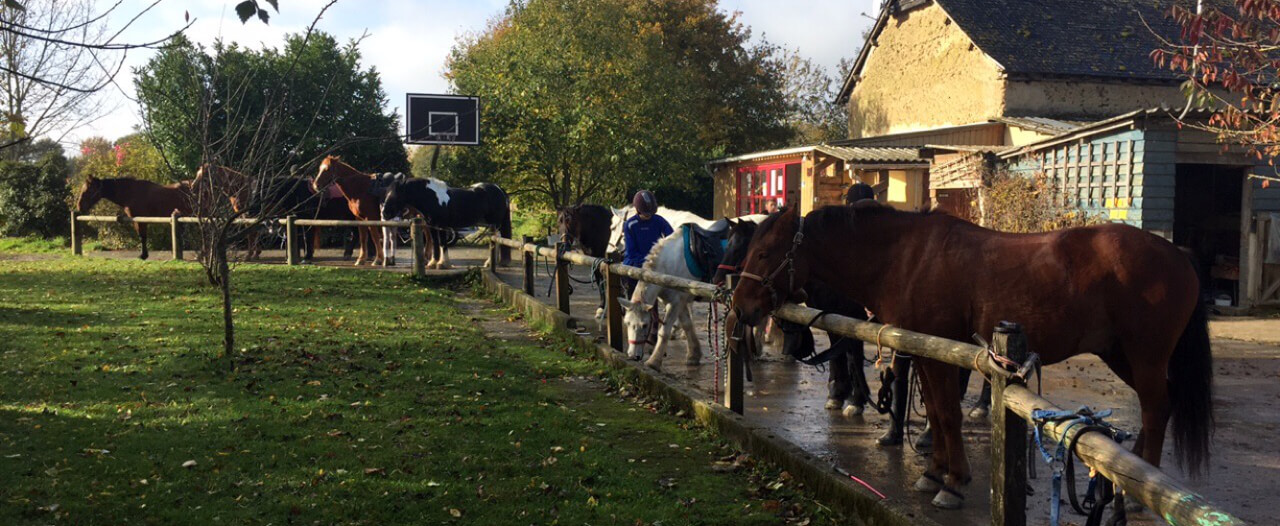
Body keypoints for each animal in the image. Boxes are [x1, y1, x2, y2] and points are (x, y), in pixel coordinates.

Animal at [376, 179, 512, 270]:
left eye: (395, 195)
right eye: (387, 193)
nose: (384, 213)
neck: (432, 198)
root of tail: (499, 189)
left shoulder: (442, 226)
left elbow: (442, 243)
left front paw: (443, 264)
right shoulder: (432, 226)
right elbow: (435, 243)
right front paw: (433, 263)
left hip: (495, 224)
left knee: (497, 238)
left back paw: (489, 263)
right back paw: (495, 262)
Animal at [732, 203, 1208, 511]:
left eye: (764, 252)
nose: (740, 306)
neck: (905, 257)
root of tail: (1178, 255)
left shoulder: (942, 353)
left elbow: (947, 413)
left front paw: (954, 483)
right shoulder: (924, 350)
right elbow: (936, 413)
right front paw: (933, 474)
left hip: (1144, 357)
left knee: (1156, 409)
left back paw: (1139, 494)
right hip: (1120, 355)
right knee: (1159, 407)